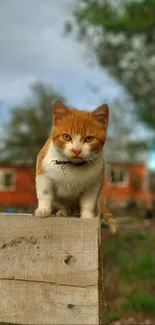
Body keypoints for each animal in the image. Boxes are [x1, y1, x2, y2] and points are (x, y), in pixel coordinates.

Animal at [34, 100, 116, 232]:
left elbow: (88, 202)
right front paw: (43, 209)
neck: (73, 165)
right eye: (66, 136)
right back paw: (64, 212)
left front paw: (87, 216)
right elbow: (45, 193)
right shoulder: (43, 173)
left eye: (89, 139)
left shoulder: (94, 183)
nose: (76, 150)